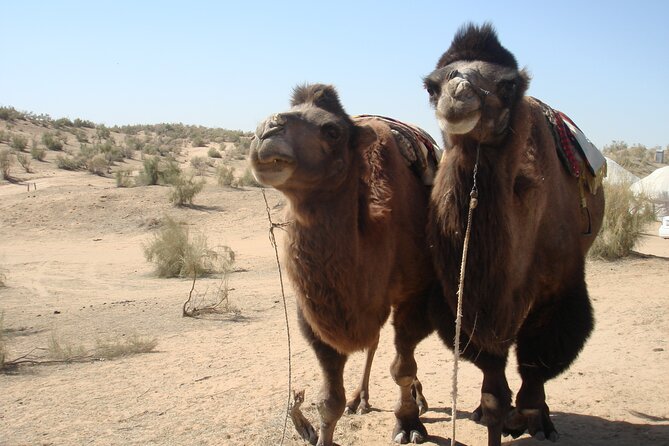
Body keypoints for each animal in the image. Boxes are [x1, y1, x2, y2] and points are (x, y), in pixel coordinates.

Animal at [249, 84, 439, 445]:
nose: (268, 129)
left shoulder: (415, 294)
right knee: (374, 340)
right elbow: (328, 400)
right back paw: (359, 399)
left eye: (332, 130)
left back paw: (419, 399)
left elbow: (402, 369)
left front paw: (408, 423)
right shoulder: (314, 315)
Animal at [423, 23, 605, 445]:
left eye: (506, 85)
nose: (458, 96)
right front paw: (493, 416)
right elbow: (493, 387)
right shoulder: (463, 302)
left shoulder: (559, 290)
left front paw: (535, 420)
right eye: (431, 86)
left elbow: (538, 364)